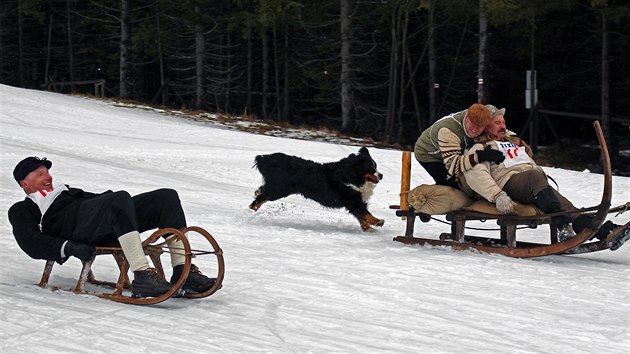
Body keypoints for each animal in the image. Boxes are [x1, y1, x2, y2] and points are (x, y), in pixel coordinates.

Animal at [251, 146, 386, 231]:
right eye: (370, 167)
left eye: (375, 166)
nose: (381, 175)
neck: (350, 174)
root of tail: (267, 158)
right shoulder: (352, 200)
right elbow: (365, 214)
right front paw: (377, 222)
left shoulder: (354, 201)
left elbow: (361, 217)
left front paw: (368, 228)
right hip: (279, 190)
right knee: (260, 199)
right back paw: (252, 209)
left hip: (279, 187)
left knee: (262, 191)